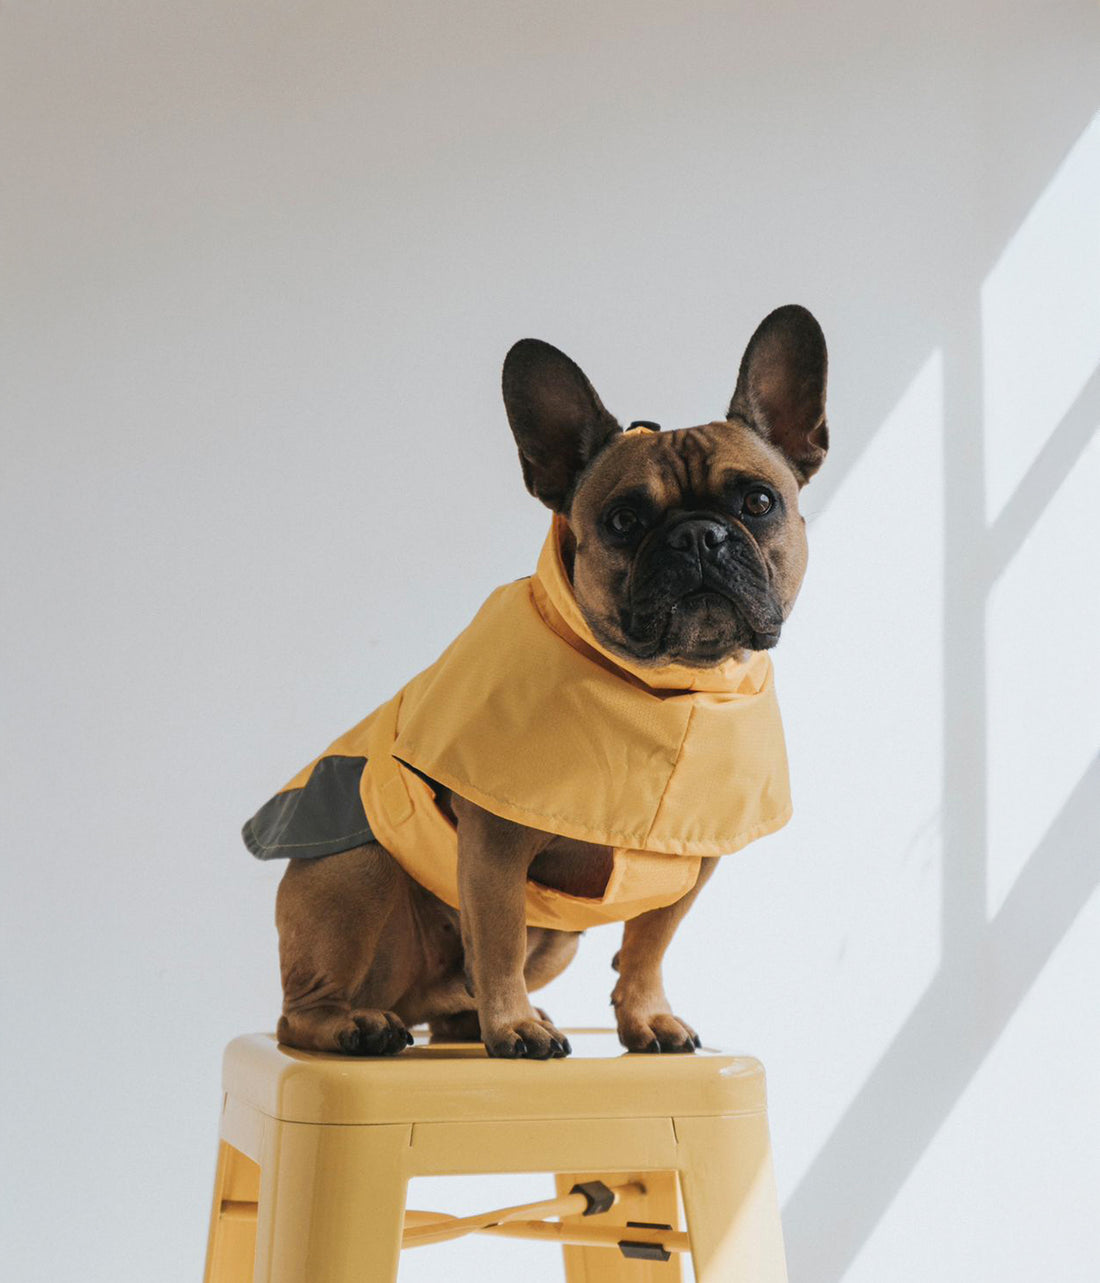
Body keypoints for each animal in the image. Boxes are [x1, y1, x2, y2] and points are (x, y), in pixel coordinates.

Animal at [240, 305, 821, 1057]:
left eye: (758, 501)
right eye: (624, 520)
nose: (698, 535)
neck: (663, 689)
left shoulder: (691, 864)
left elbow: (648, 945)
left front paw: (644, 1016)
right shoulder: (495, 845)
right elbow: (498, 937)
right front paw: (512, 1025)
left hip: (557, 941)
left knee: (446, 1002)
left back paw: (466, 1019)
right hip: (357, 868)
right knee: (303, 1009)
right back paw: (360, 1025)